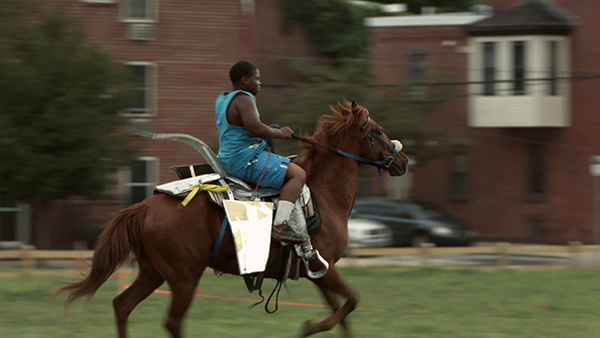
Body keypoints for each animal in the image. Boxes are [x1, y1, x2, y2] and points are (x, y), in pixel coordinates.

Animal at [57, 99, 408, 336]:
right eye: (377, 131)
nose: (402, 159)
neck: (323, 194)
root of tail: (146, 206)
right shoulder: (326, 267)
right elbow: (351, 302)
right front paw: (308, 326)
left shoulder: (318, 272)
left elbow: (343, 313)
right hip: (183, 277)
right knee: (172, 322)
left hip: (152, 272)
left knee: (122, 305)